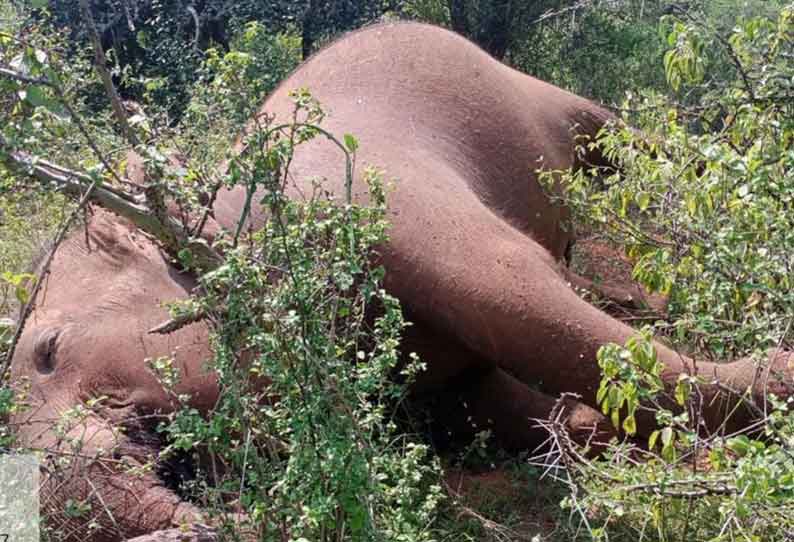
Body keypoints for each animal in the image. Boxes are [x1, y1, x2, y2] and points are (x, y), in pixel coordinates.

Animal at [6, 21, 792, 542]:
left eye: (48, 349)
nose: (215, 513)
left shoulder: (375, 198)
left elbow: (523, 304)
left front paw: (770, 392)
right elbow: (492, 399)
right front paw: (590, 430)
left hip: (542, 93)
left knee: (627, 143)